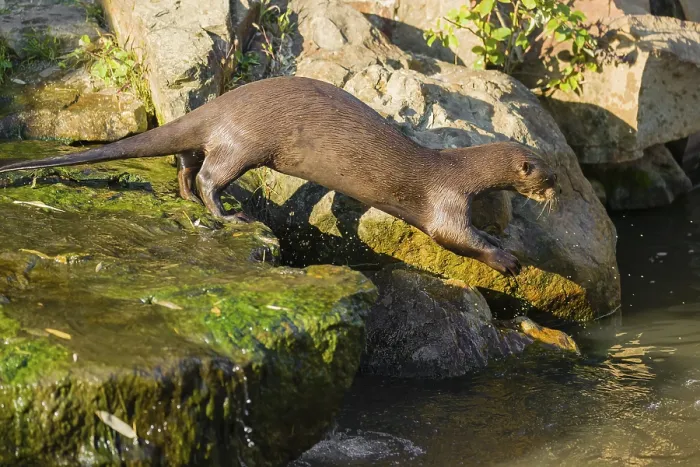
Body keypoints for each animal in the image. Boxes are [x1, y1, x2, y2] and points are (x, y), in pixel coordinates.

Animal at [0, 76, 557, 275]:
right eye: (551, 177)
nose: (553, 192)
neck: (458, 168)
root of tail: (218, 106)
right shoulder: (445, 200)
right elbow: (451, 235)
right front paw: (505, 258)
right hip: (244, 144)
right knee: (211, 175)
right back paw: (230, 216)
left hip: (214, 141)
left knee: (187, 162)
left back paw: (187, 199)